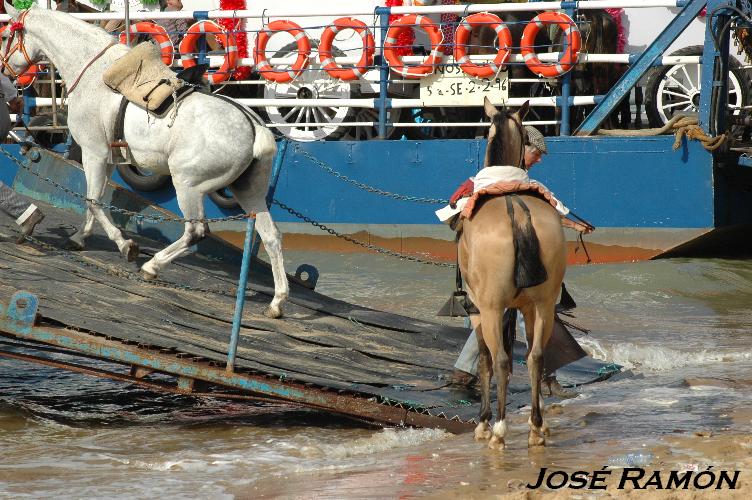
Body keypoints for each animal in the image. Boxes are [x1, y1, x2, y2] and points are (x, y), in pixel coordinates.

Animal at [0, 3, 290, 316]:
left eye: (5, 35)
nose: (3, 69)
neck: (92, 71)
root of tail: (255, 128)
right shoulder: (109, 159)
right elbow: (94, 201)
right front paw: (79, 238)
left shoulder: (93, 152)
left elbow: (93, 201)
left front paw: (125, 245)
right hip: (249, 192)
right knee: (271, 235)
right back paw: (277, 301)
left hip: (187, 186)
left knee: (196, 231)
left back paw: (152, 266)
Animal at [458, 97, 564, 450]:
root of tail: (517, 209)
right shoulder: (525, 308)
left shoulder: (479, 309)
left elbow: (486, 361)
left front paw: (483, 423)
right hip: (543, 306)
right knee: (536, 356)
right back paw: (536, 426)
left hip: (491, 308)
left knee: (501, 360)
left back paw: (500, 430)